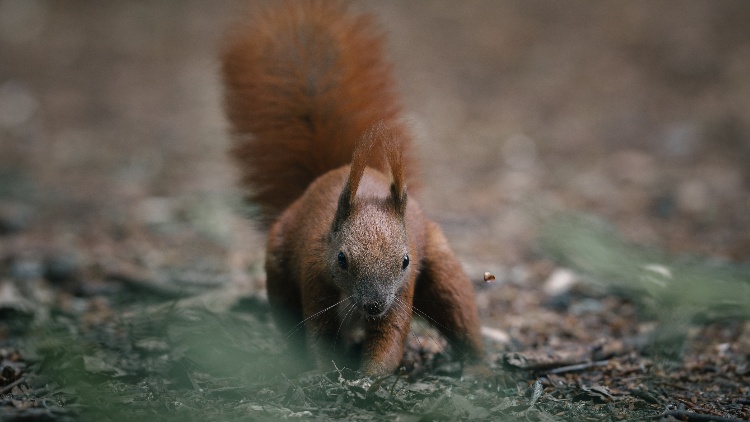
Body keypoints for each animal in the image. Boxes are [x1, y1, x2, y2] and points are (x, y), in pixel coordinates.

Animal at [221, 1, 483, 376]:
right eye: (342, 259)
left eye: (405, 261)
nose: (374, 305)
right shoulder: (315, 277)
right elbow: (320, 335)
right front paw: (329, 374)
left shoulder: (400, 293)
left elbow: (389, 337)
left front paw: (366, 378)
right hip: (280, 271)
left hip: (442, 270)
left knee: (458, 310)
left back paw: (480, 367)